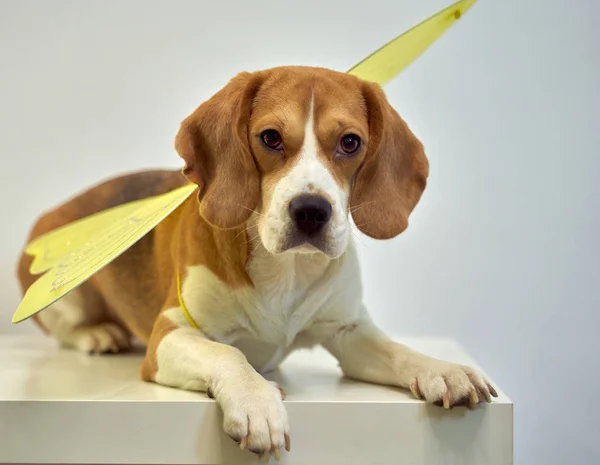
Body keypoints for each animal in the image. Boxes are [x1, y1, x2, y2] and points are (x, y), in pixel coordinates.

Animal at [17, 66, 496, 460]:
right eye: (270, 137)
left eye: (350, 143)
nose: (311, 211)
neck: (288, 269)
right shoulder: (170, 334)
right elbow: (229, 353)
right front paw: (257, 402)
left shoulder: (348, 331)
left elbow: (399, 351)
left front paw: (443, 370)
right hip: (62, 296)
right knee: (69, 326)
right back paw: (97, 333)